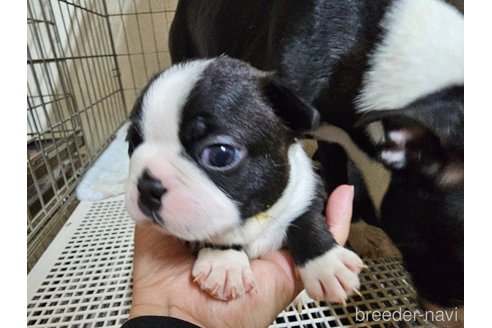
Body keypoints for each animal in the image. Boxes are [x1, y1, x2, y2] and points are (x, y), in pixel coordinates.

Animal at [125, 57, 364, 302]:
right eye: (131, 144)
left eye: (220, 154)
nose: (146, 187)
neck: (256, 218)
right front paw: (223, 263)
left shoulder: (308, 188)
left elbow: (306, 219)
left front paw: (326, 263)